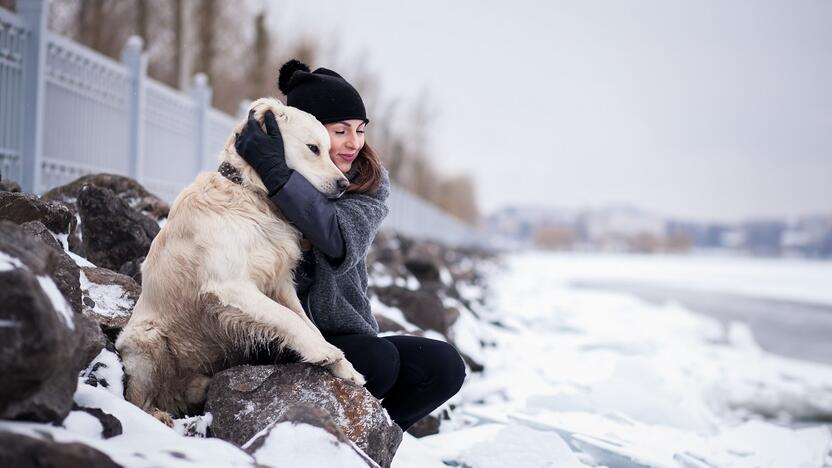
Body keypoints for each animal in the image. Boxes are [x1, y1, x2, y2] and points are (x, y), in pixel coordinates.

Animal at [117, 98, 368, 420]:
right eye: (313, 148)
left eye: (328, 148)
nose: (343, 184)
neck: (250, 194)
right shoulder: (230, 286)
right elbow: (288, 318)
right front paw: (323, 353)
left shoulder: (280, 284)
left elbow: (308, 323)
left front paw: (345, 367)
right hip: (146, 339)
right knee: (137, 399)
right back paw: (159, 417)